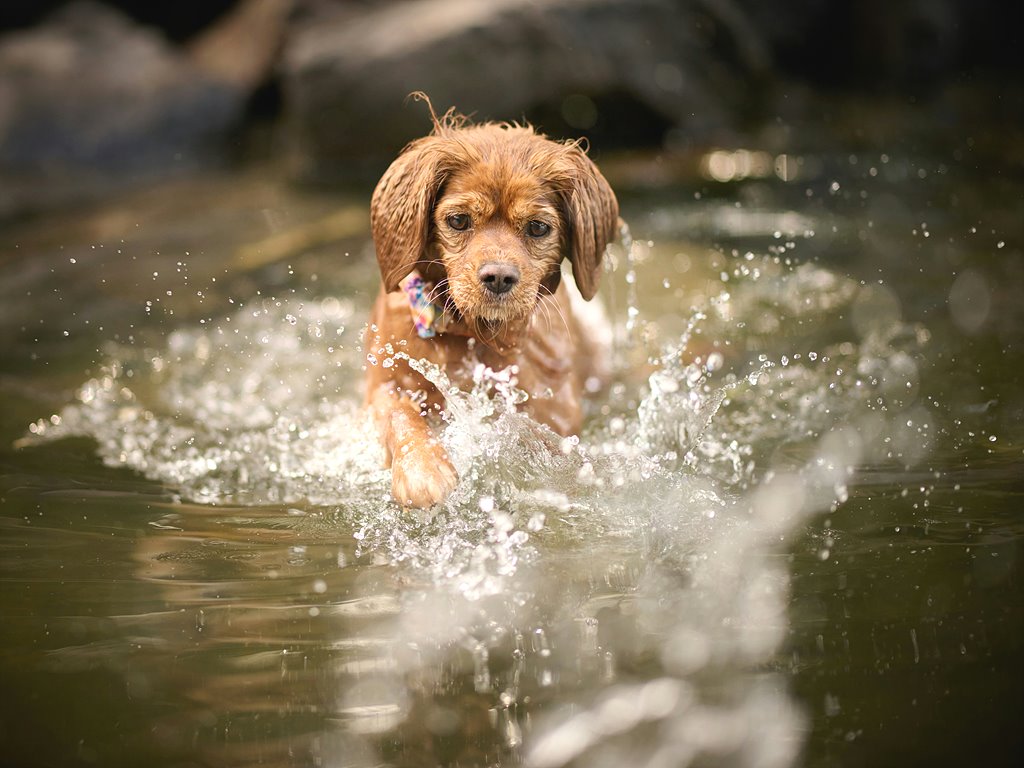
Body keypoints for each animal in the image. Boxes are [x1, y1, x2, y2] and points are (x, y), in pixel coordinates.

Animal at [366, 102, 614, 512]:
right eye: (458, 220)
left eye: (537, 228)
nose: (498, 277)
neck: (473, 336)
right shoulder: (383, 383)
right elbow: (398, 410)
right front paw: (423, 469)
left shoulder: (556, 410)